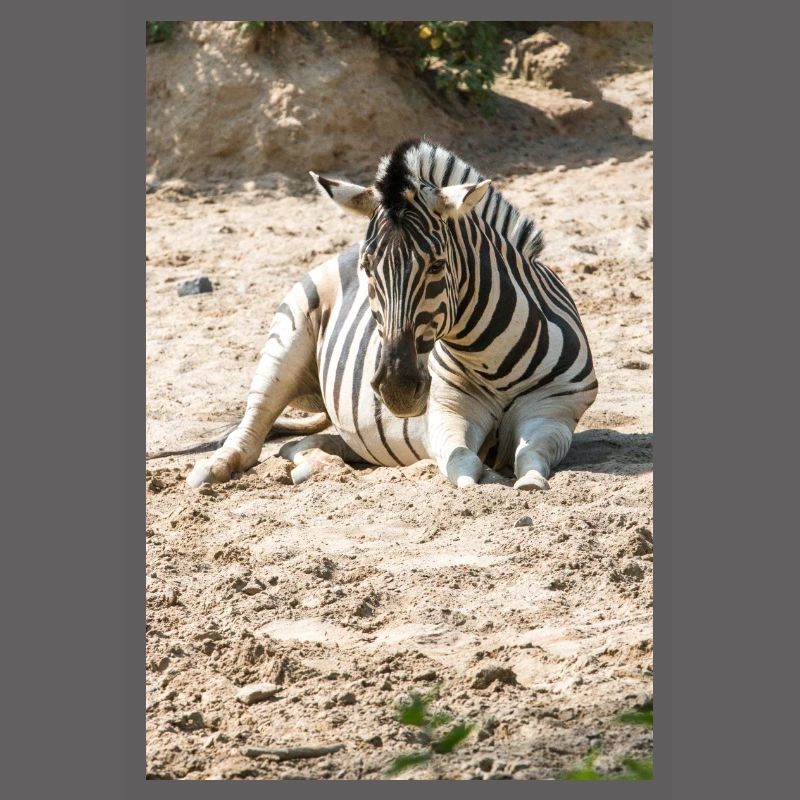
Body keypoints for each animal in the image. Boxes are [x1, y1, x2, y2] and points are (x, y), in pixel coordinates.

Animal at [186, 138, 597, 491]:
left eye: (437, 265)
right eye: (368, 267)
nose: (396, 389)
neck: (489, 357)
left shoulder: (555, 410)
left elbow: (531, 455)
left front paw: (529, 481)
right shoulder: (447, 411)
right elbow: (464, 463)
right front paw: (485, 479)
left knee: (305, 444)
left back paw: (314, 465)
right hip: (286, 341)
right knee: (254, 424)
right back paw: (212, 469)